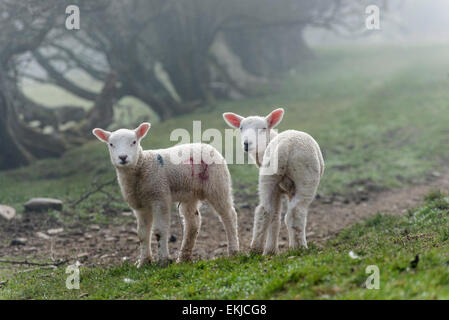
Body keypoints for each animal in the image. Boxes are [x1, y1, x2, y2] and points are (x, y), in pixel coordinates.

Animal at [93, 124, 240, 266]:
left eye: (134, 142)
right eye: (111, 144)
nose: (123, 157)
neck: (142, 165)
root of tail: (208, 146)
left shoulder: (160, 196)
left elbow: (159, 231)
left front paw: (163, 260)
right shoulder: (140, 206)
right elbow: (142, 234)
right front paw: (144, 262)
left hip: (217, 184)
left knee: (229, 215)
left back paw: (233, 251)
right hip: (189, 193)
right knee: (193, 222)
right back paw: (183, 258)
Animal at [223, 109, 322, 255]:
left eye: (263, 128)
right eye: (241, 128)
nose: (246, 143)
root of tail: (284, 146)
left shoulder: (280, 189)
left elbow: (275, 218)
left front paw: (274, 250)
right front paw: (291, 245)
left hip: (268, 176)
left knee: (264, 211)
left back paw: (258, 249)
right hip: (306, 178)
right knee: (296, 211)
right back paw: (300, 247)